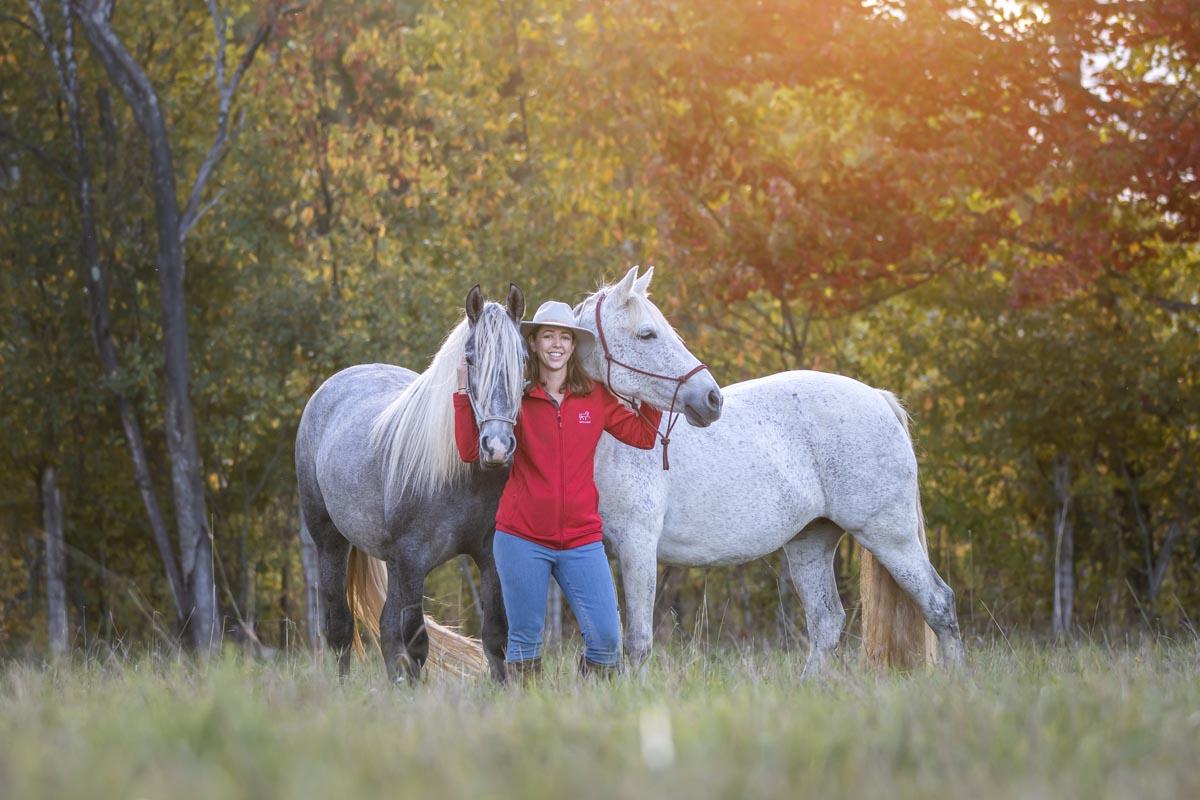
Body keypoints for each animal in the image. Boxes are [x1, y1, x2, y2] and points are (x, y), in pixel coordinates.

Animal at [576, 272, 969, 671]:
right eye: (646, 334)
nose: (711, 399)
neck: (609, 444)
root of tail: (878, 397)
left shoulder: (638, 545)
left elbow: (637, 642)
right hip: (811, 541)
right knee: (827, 620)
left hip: (890, 536)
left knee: (939, 604)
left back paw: (954, 675)